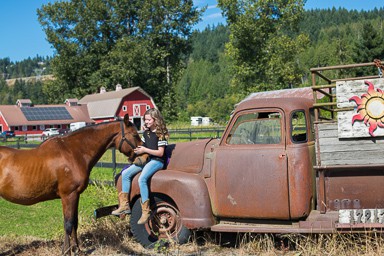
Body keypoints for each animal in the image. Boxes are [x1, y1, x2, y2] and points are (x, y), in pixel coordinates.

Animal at [0, 115, 147, 255]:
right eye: (135, 134)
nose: (145, 157)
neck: (73, 152)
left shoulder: (76, 195)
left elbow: (75, 222)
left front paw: (77, 249)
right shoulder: (68, 196)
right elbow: (68, 224)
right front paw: (66, 251)